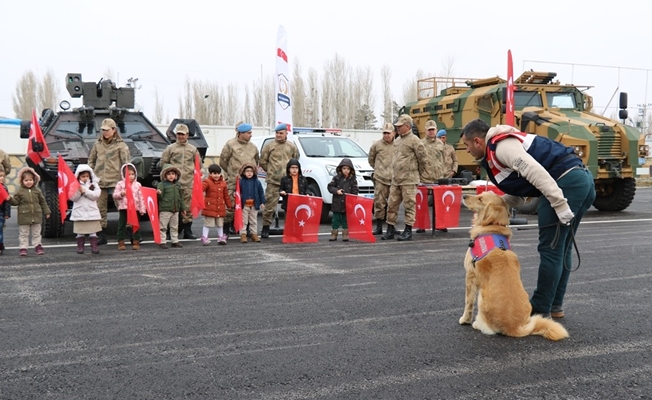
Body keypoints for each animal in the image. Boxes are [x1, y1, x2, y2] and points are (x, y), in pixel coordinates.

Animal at [456, 191, 568, 340]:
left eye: (480, 199)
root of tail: (514, 328)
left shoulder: (470, 275)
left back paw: (477, 324)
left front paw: (465, 320)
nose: (464, 196)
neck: (492, 227)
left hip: (482, 298)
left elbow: (468, 302)